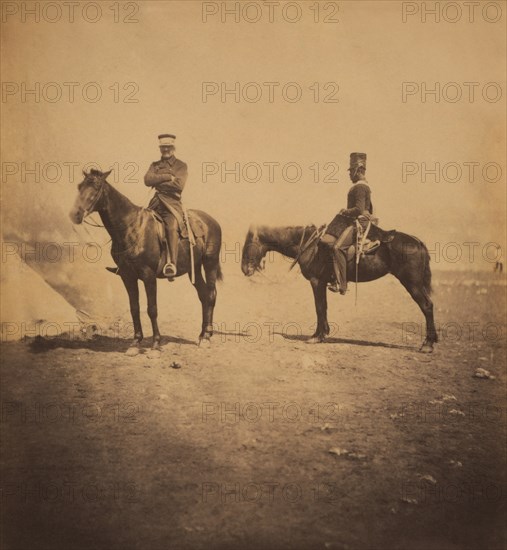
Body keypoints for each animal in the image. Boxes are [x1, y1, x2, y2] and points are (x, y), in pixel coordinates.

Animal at [69, 168, 222, 358]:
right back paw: (201, 335)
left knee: (211, 295)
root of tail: (210, 221)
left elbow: (152, 309)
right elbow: (134, 308)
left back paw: (207, 337)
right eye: (80, 186)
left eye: (96, 187)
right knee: (203, 295)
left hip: (210, 263)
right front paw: (135, 343)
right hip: (194, 268)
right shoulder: (127, 276)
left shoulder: (149, 276)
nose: (75, 215)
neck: (131, 228)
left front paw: (156, 345)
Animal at [241, 224, 436, 354]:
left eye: (247, 245)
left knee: (427, 306)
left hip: (412, 283)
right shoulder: (322, 282)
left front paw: (317, 336)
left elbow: (319, 308)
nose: (245, 270)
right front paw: (322, 334)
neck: (310, 245)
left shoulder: (316, 282)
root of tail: (417, 241)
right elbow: (324, 308)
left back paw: (428, 344)